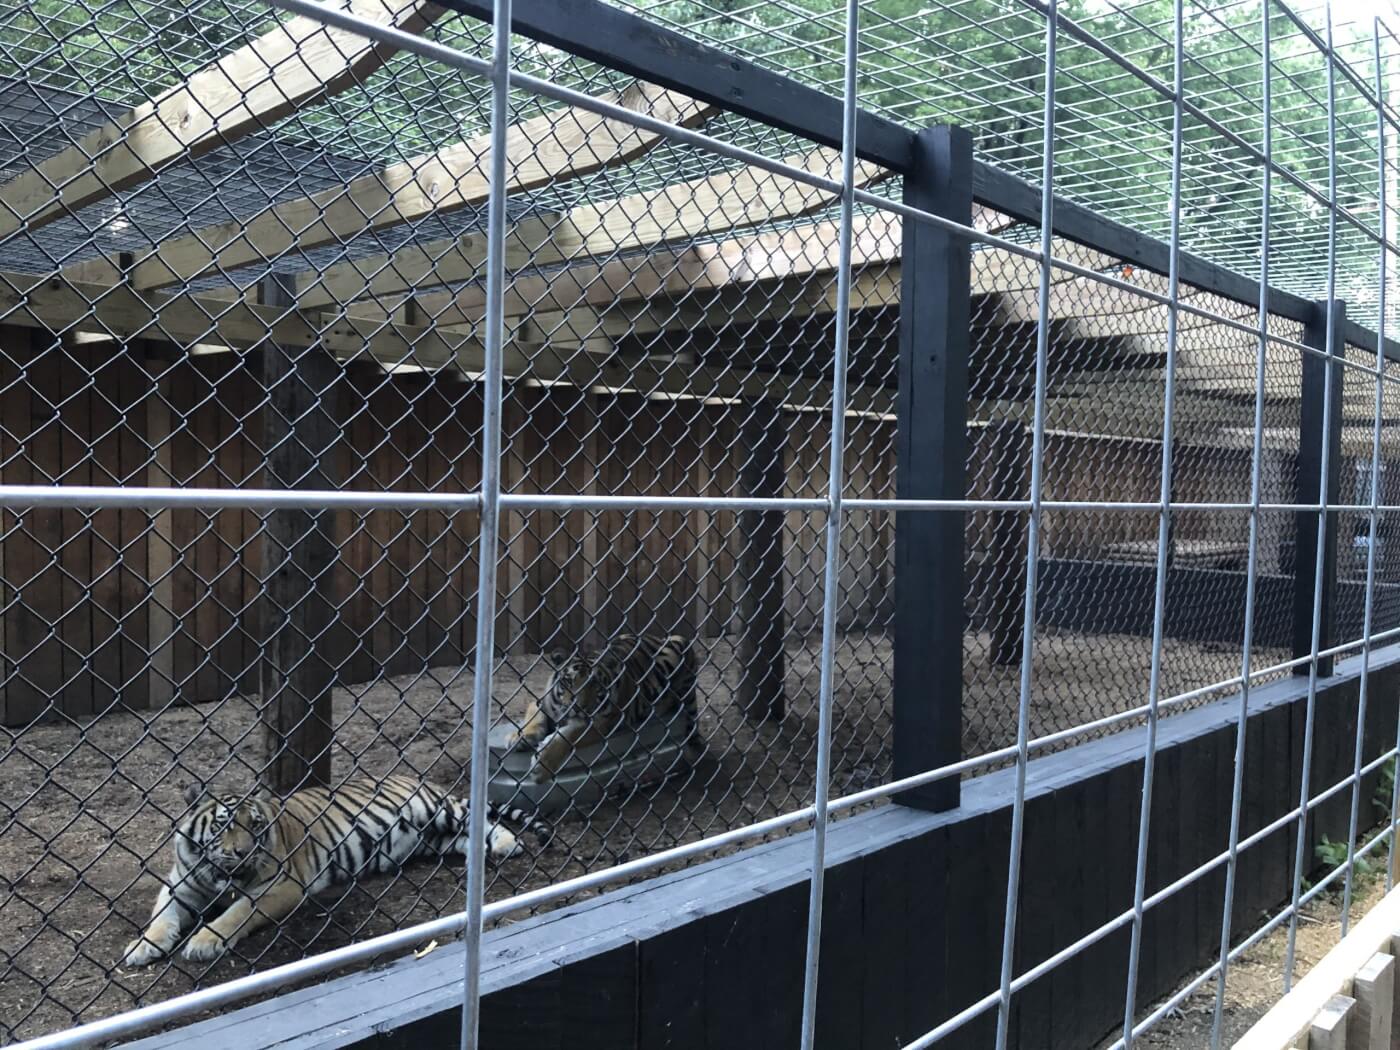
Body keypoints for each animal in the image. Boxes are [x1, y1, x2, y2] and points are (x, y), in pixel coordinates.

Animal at [121, 772, 546, 968]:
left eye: (255, 826)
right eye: (224, 826)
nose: (243, 852)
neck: (218, 875)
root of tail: (414, 777)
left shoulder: (280, 886)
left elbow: (237, 912)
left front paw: (205, 940)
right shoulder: (179, 885)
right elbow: (161, 916)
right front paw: (143, 946)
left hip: (437, 811)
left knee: (480, 820)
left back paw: (506, 844)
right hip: (433, 840)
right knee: (464, 838)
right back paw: (480, 855)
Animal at [509, 632, 700, 784]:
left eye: (594, 685)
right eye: (569, 681)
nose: (578, 707)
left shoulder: (603, 723)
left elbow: (568, 735)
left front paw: (541, 768)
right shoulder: (541, 702)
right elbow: (535, 716)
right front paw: (519, 738)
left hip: (679, 648)